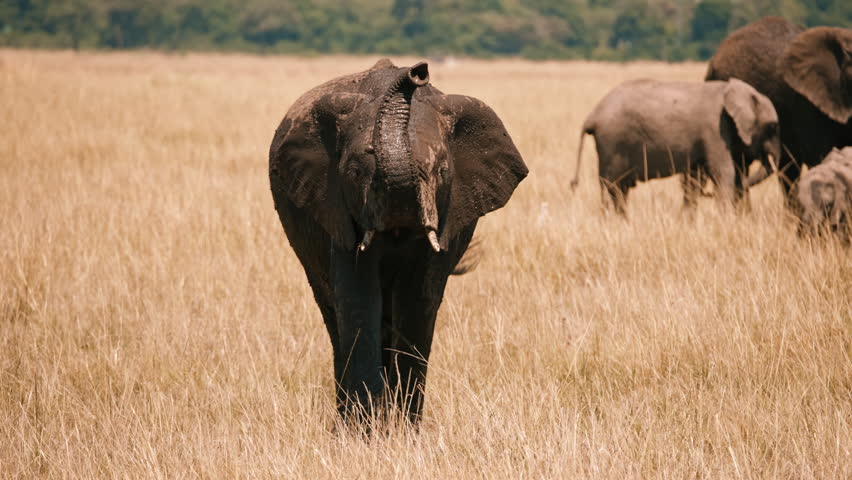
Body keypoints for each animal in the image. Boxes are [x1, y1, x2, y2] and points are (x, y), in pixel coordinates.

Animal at [268, 59, 527, 424]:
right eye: (354, 172)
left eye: (442, 170)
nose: (418, 70)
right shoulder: (340, 209)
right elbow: (358, 299)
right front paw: (365, 430)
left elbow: (418, 298)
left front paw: (404, 429)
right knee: (334, 318)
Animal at [570, 78, 780, 215]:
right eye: (772, 127)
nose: (708, 194)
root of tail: (593, 116)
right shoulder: (715, 129)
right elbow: (723, 171)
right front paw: (725, 220)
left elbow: (694, 179)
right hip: (613, 143)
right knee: (614, 187)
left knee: (617, 189)